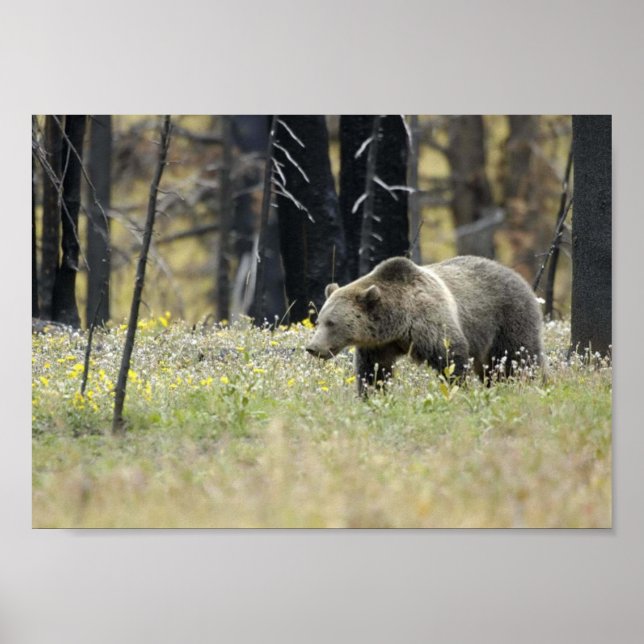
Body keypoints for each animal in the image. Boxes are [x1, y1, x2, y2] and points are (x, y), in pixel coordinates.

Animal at [305, 255, 544, 395]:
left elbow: (451, 358)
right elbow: (374, 371)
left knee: (517, 357)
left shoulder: (429, 322)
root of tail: (518, 276)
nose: (312, 348)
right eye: (319, 320)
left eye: (331, 323)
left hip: (508, 317)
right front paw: (372, 394)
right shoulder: (379, 344)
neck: (398, 322)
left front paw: (459, 389)